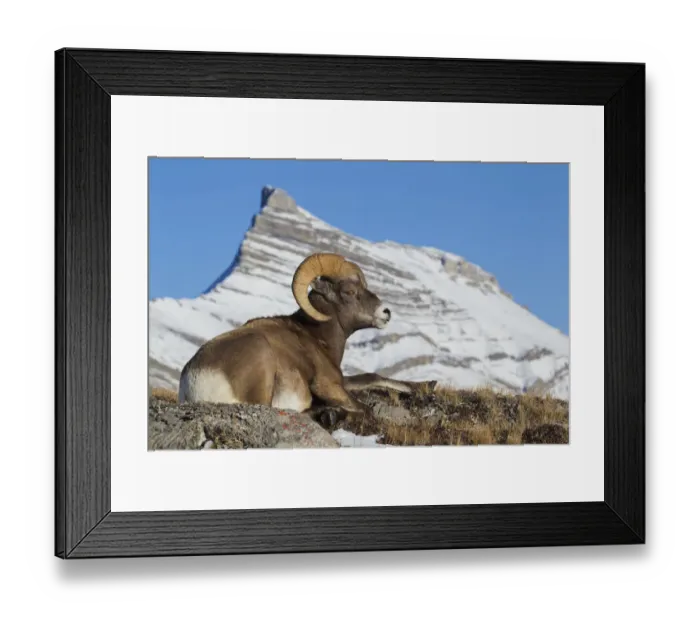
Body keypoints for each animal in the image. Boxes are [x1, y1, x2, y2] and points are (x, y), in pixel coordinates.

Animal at [178, 253, 414, 426]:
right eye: (349, 291)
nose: (385, 312)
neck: (317, 337)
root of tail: (195, 380)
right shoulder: (327, 384)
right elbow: (366, 410)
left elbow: (371, 377)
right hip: (262, 358)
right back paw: (329, 416)